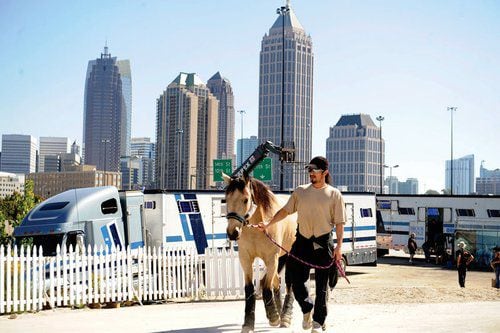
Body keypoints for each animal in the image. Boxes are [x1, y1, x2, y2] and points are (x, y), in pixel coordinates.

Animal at [223, 172, 296, 330]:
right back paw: (279, 312)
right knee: (277, 281)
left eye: (246, 199)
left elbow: (266, 287)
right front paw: (248, 323)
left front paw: (273, 317)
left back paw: (285, 317)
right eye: (226, 199)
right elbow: (250, 288)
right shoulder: (245, 258)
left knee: (289, 284)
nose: (232, 232)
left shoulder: (271, 258)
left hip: (290, 256)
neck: (257, 229)